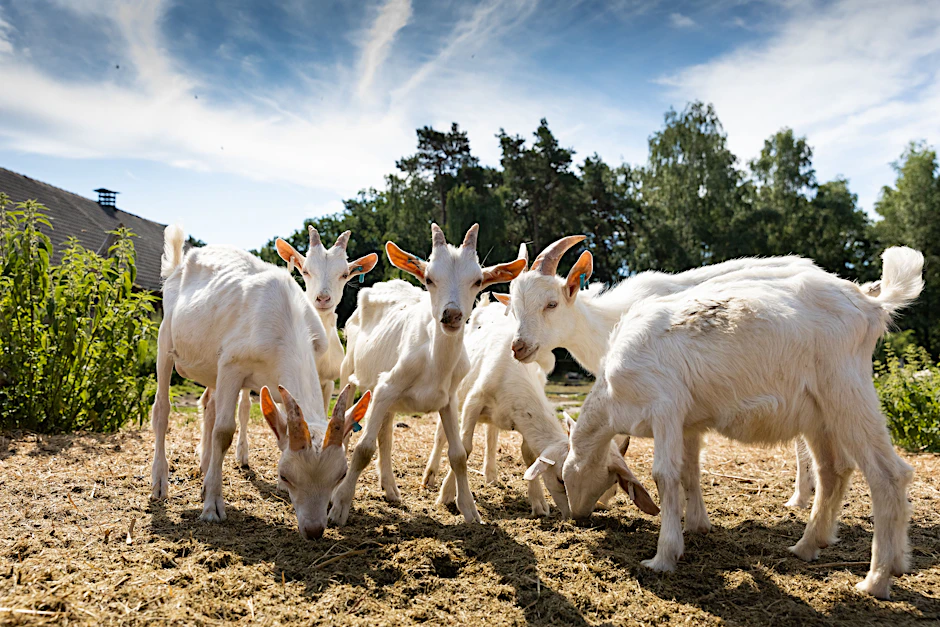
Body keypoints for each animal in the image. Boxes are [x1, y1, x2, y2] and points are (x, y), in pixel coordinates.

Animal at [150, 225, 371, 538]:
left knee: (209, 404)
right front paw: (212, 507)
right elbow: (223, 432)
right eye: (285, 475)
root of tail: (178, 267)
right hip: (165, 339)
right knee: (162, 408)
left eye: (339, 475)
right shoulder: (231, 365)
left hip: (210, 365)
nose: (314, 530)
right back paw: (160, 482)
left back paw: (204, 471)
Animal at [329, 224, 526, 526]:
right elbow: (363, 449)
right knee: (351, 425)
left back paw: (391, 489)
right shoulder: (386, 387)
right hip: (351, 374)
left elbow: (458, 455)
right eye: (430, 278)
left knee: (386, 434)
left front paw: (470, 511)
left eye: (477, 281)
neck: (434, 363)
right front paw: (339, 507)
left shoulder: (448, 399)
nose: (452, 314)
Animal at [560, 246, 923, 599]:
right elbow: (690, 470)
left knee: (888, 474)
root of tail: (871, 304)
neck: (611, 395)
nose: (577, 516)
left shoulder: (664, 407)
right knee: (833, 471)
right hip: (819, 413)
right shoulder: (688, 422)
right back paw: (811, 546)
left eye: (564, 479)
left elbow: (664, 475)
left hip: (846, 391)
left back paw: (877, 579)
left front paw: (663, 557)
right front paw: (696, 527)